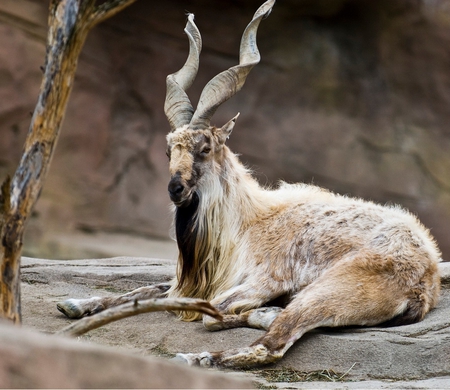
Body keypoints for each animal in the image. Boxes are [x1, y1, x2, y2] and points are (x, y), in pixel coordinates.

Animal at [55, 0, 440, 370]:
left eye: (204, 148)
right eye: (168, 149)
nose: (175, 189)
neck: (246, 222)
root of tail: (426, 277)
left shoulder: (262, 280)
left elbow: (206, 310)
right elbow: (152, 289)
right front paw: (77, 303)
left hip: (332, 288)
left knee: (270, 344)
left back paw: (200, 356)